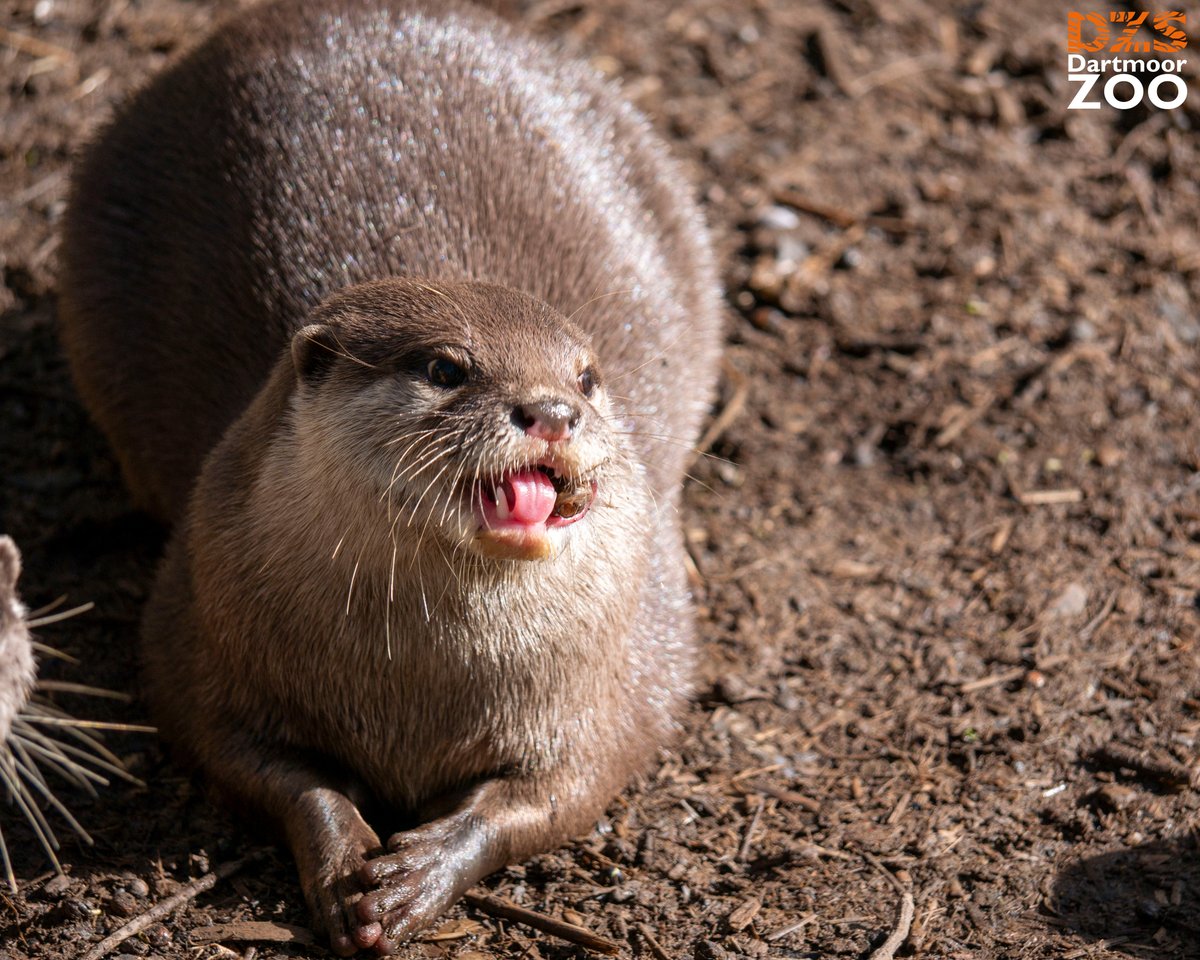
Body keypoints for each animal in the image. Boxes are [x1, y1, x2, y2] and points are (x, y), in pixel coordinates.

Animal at [56, 0, 720, 950]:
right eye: (446, 368)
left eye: (588, 377)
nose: (552, 410)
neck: (420, 679)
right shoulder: (195, 630)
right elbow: (262, 763)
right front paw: (341, 858)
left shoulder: (623, 675)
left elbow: (562, 789)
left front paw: (420, 873)